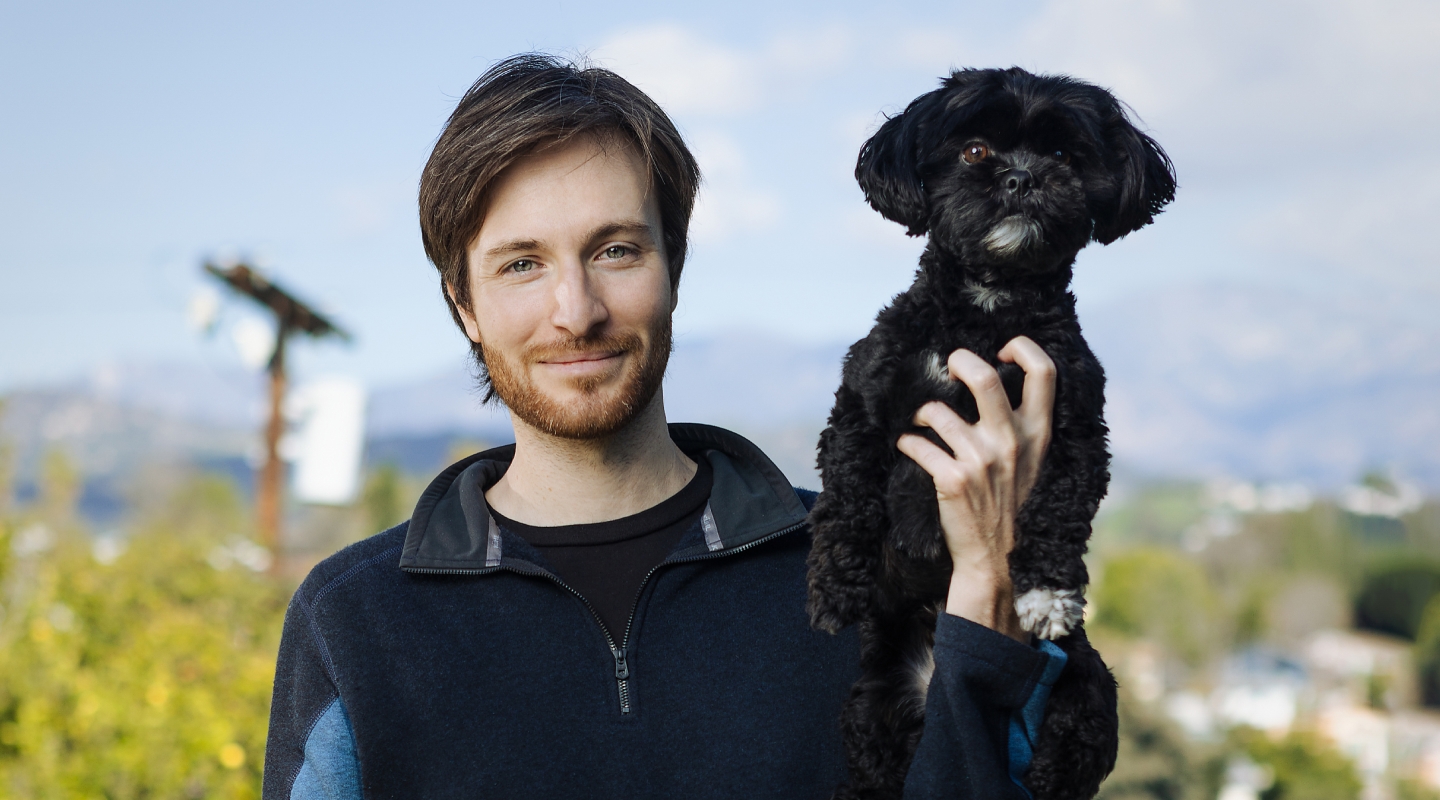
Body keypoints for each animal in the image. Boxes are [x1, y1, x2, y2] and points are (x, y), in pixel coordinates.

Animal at [806, 68, 1175, 800]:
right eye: (975, 150)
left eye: (1062, 154)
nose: (1022, 177)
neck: (986, 308)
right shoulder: (864, 396)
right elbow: (848, 494)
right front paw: (836, 584)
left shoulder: (1073, 421)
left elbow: (1057, 509)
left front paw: (1048, 592)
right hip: (868, 711)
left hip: (1086, 685)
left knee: (1069, 743)